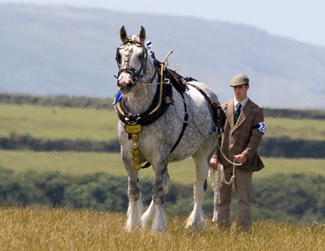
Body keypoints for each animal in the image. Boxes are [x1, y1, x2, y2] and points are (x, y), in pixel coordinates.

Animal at [114, 26, 220, 231]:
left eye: (141, 55)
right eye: (118, 54)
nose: (124, 82)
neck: (140, 114)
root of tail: (211, 97)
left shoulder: (160, 154)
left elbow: (157, 192)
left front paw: (158, 228)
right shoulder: (128, 156)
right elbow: (134, 191)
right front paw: (134, 225)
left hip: (203, 154)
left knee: (199, 188)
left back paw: (193, 224)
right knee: (165, 181)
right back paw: (147, 218)